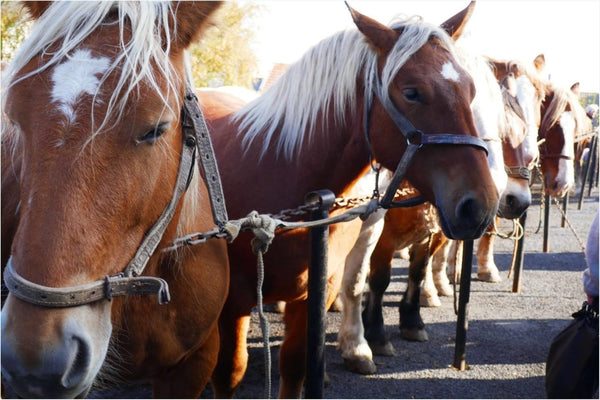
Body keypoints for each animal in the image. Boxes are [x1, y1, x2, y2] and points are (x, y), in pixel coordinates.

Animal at [197, 3, 496, 396]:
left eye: (471, 90)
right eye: (412, 92)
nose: (481, 205)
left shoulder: (315, 294)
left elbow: (295, 366)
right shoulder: (235, 304)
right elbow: (230, 372)